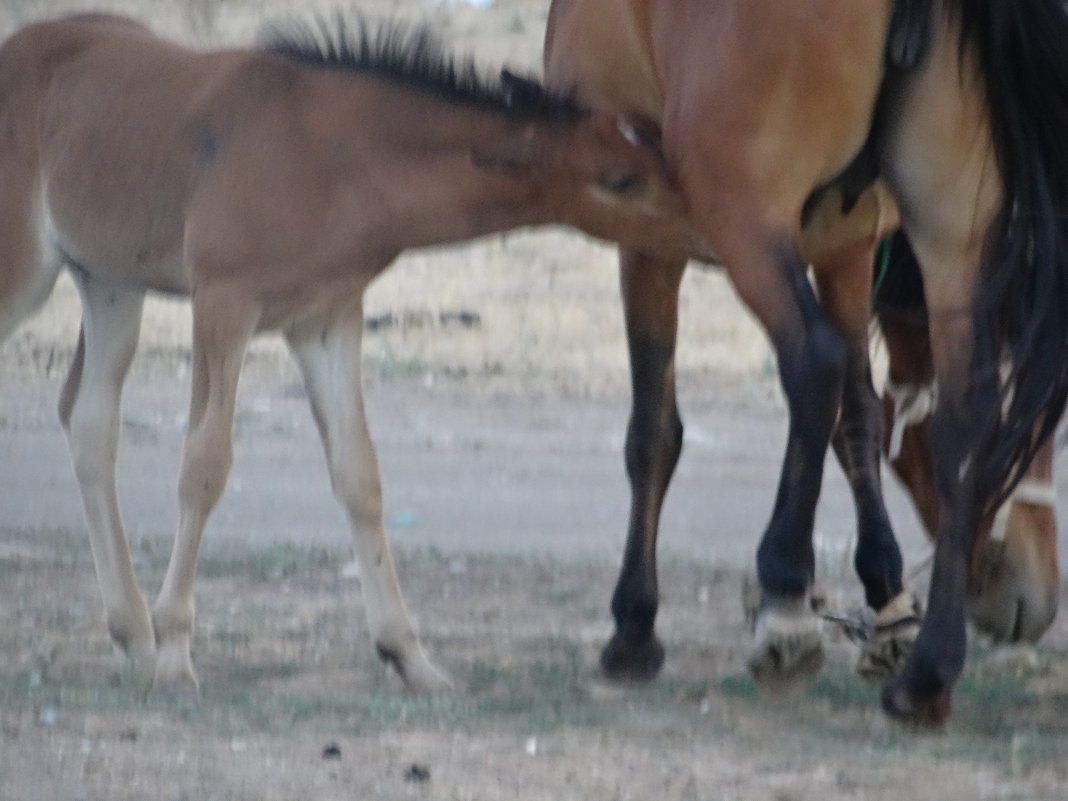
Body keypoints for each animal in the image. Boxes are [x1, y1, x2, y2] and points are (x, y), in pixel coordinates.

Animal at [0, 14, 700, 696]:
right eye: (620, 180)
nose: (701, 231)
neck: (333, 159)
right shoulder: (224, 302)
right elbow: (204, 464)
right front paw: (175, 652)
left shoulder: (327, 321)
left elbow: (359, 472)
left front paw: (409, 656)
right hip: (26, 276)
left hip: (111, 284)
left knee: (89, 421)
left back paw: (132, 634)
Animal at [546, 0, 1068, 726]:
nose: (1031, 593)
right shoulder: (847, 247)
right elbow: (860, 422)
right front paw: (886, 594)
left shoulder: (645, 232)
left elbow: (653, 430)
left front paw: (633, 627)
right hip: (953, 232)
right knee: (964, 416)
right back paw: (925, 675)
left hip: (744, 209)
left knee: (811, 363)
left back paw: (785, 598)